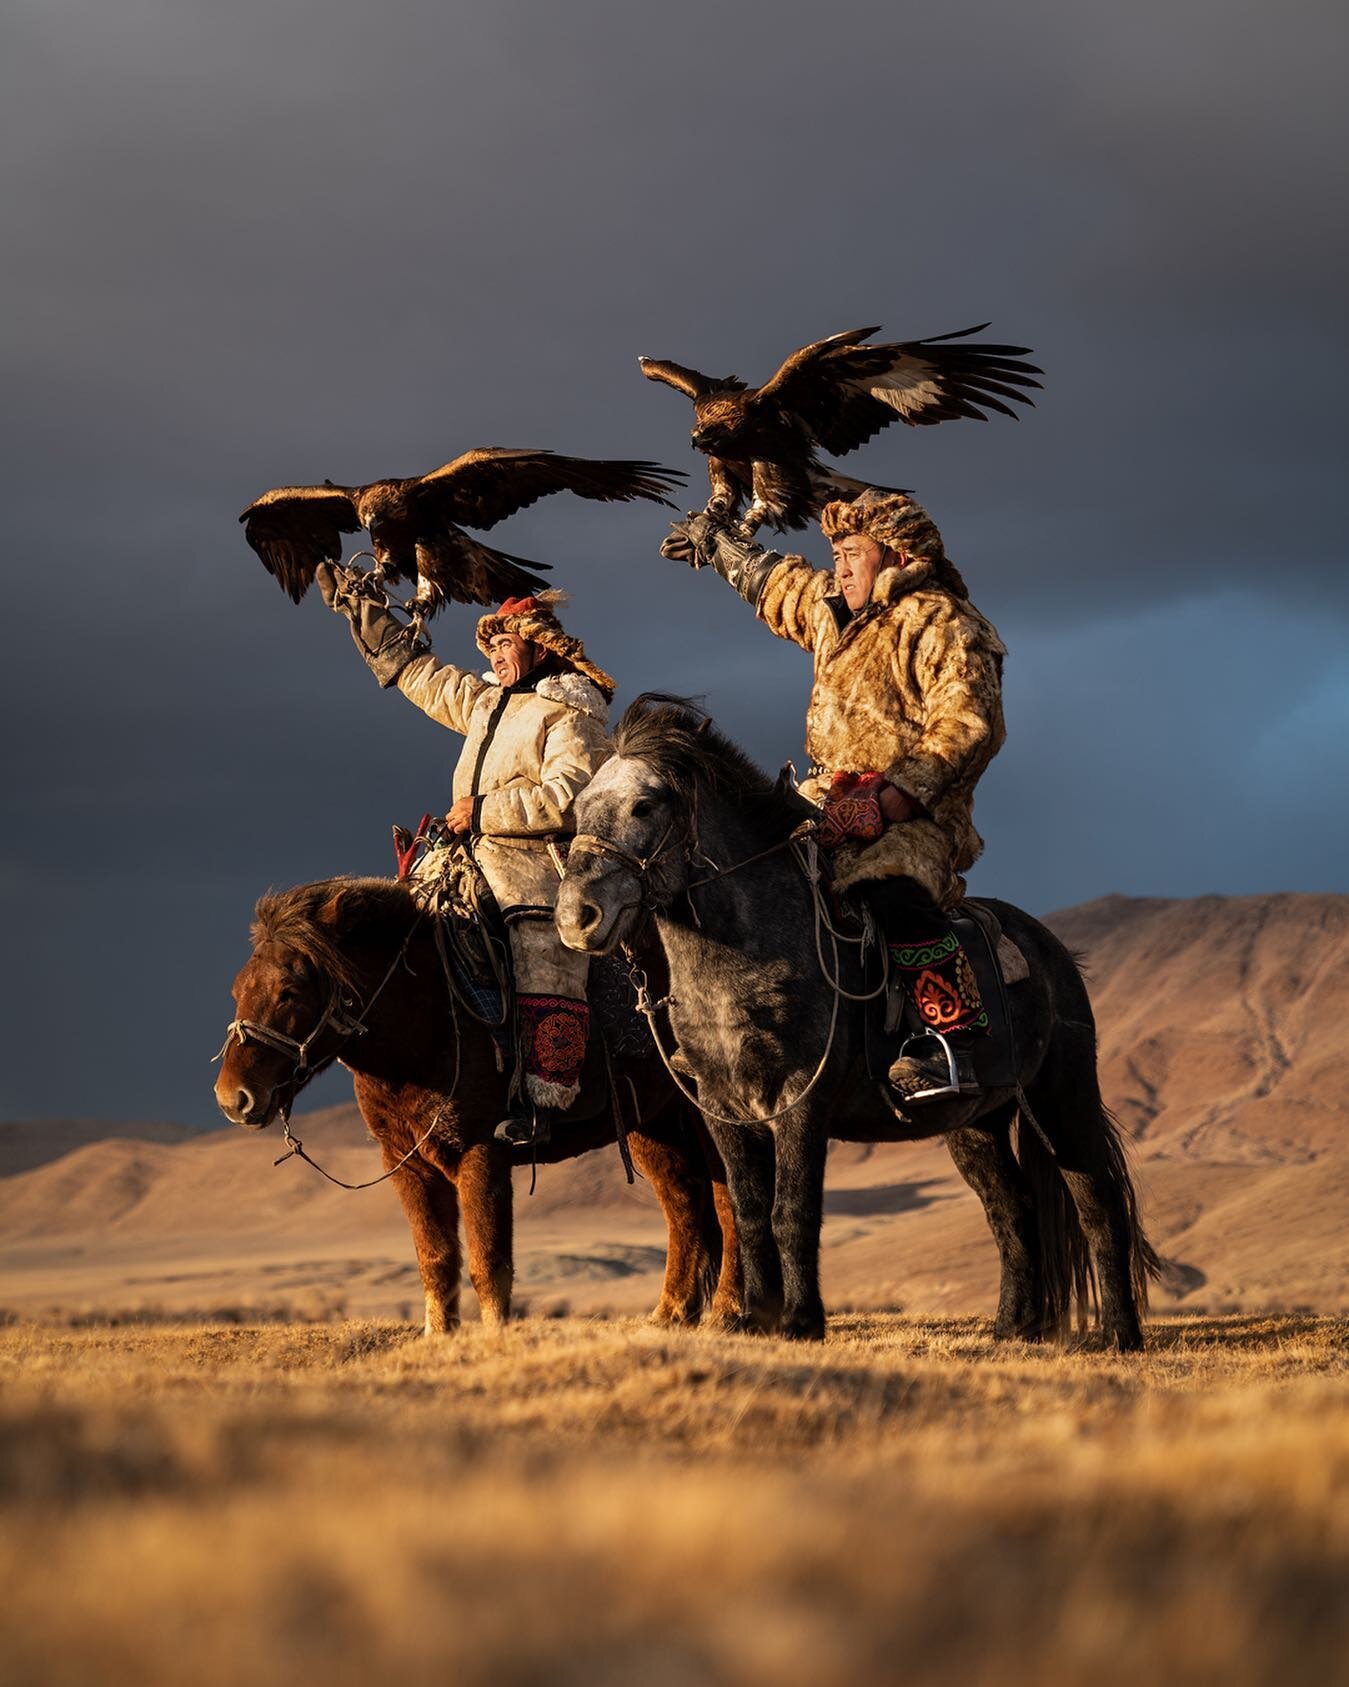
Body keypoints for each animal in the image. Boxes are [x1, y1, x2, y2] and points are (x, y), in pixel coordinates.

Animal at [213, 877, 738, 1336]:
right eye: (237, 989)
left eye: (290, 992)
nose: (233, 1098)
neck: (428, 1022)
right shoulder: (406, 1163)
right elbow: (436, 1259)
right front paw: (438, 1336)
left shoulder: (482, 1151)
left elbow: (489, 1260)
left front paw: (492, 1337)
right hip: (654, 1120)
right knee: (683, 1203)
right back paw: (671, 1315)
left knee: (727, 1201)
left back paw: (729, 1314)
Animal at [553, 695, 1153, 1342]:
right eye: (579, 810)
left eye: (644, 804)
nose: (578, 917)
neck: (749, 952)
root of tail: (1052, 951)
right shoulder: (721, 1105)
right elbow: (750, 1209)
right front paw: (752, 1318)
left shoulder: (800, 1097)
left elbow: (791, 1210)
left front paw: (798, 1321)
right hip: (976, 1123)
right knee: (1012, 1210)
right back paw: (1011, 1328)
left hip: (1060, 1098)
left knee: (1097, 1203)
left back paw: (1118, 1334)